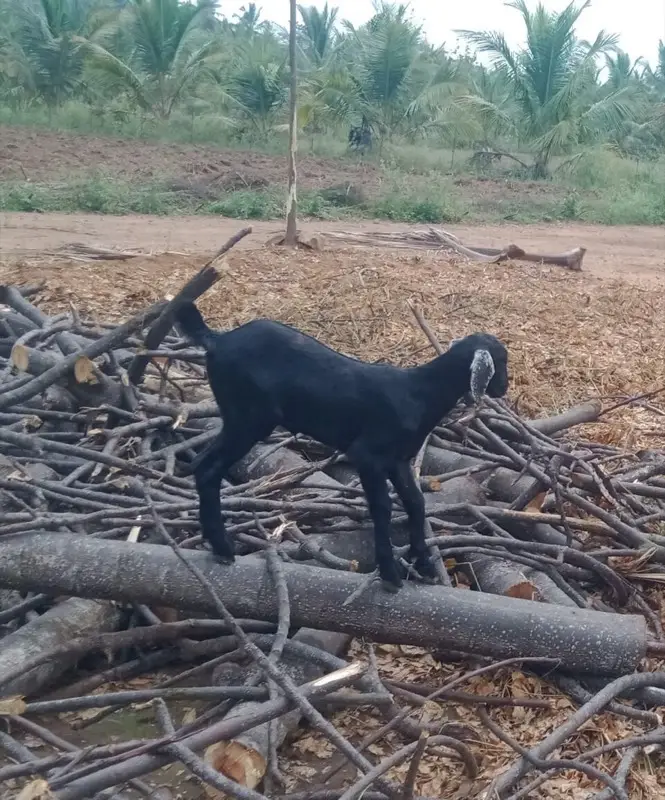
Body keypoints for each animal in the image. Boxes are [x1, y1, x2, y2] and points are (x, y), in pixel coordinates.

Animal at [174, 302, 509, 591]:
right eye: (502, 360)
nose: (504, 388)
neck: (420, 393)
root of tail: (217, 340)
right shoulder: (367, 456)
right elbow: (383, 507)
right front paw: (390, 573)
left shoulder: (398, 460)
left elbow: (416, 502)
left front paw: (424, 563)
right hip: (248, 418)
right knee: (208, 469)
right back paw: (222, 547)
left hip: (239, 420)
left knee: (202, 465)